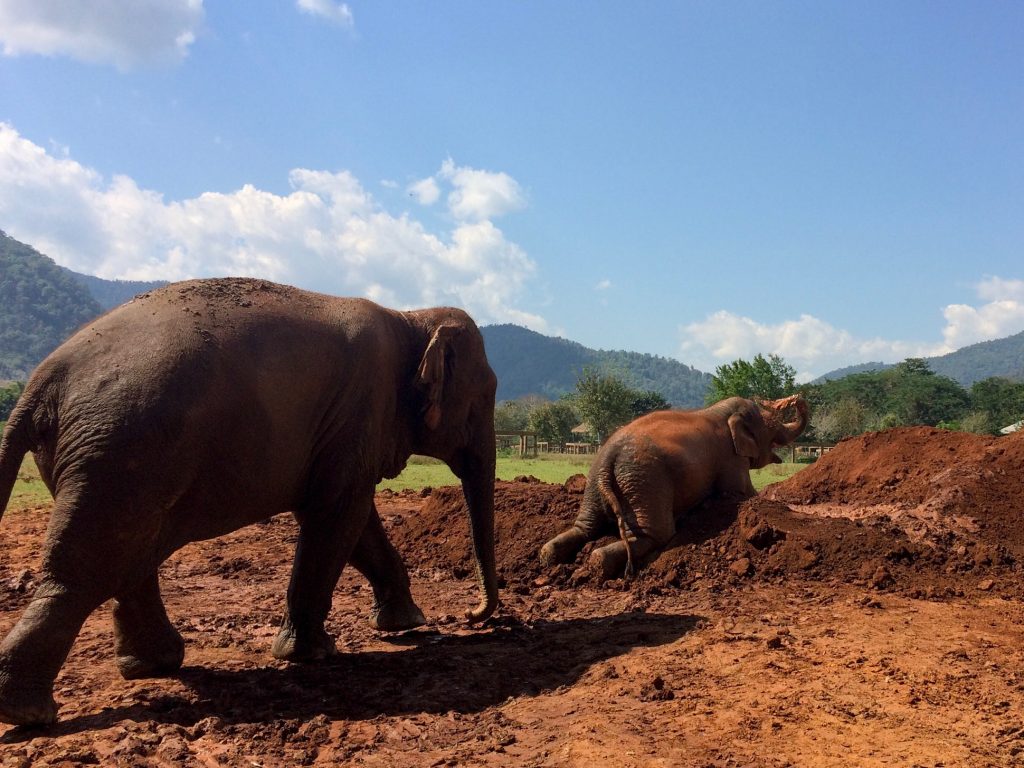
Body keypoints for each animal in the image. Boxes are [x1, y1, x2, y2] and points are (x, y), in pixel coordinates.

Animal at [0, 278, 499, 729]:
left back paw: (152, 666)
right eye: (488, 392)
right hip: (122, 452)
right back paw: (28, 712)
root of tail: (39, 384)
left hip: (104, 461)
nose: (471, 616)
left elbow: (352, 520)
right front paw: (311, 654)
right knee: (91, 569)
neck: (410, 318)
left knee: (127, 559)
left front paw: (406, 624)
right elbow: (340, 514)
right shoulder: (361, 409)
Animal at [540, 393, 811, 581]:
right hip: (647, 483)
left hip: (598, 485)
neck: (722, 411)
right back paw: (599, 561)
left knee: (585, 528)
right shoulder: (730, 459)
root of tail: (609, 458)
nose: (795, 399)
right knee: (657, 534)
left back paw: (549, 556)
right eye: (772, 429)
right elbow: (741, 493)